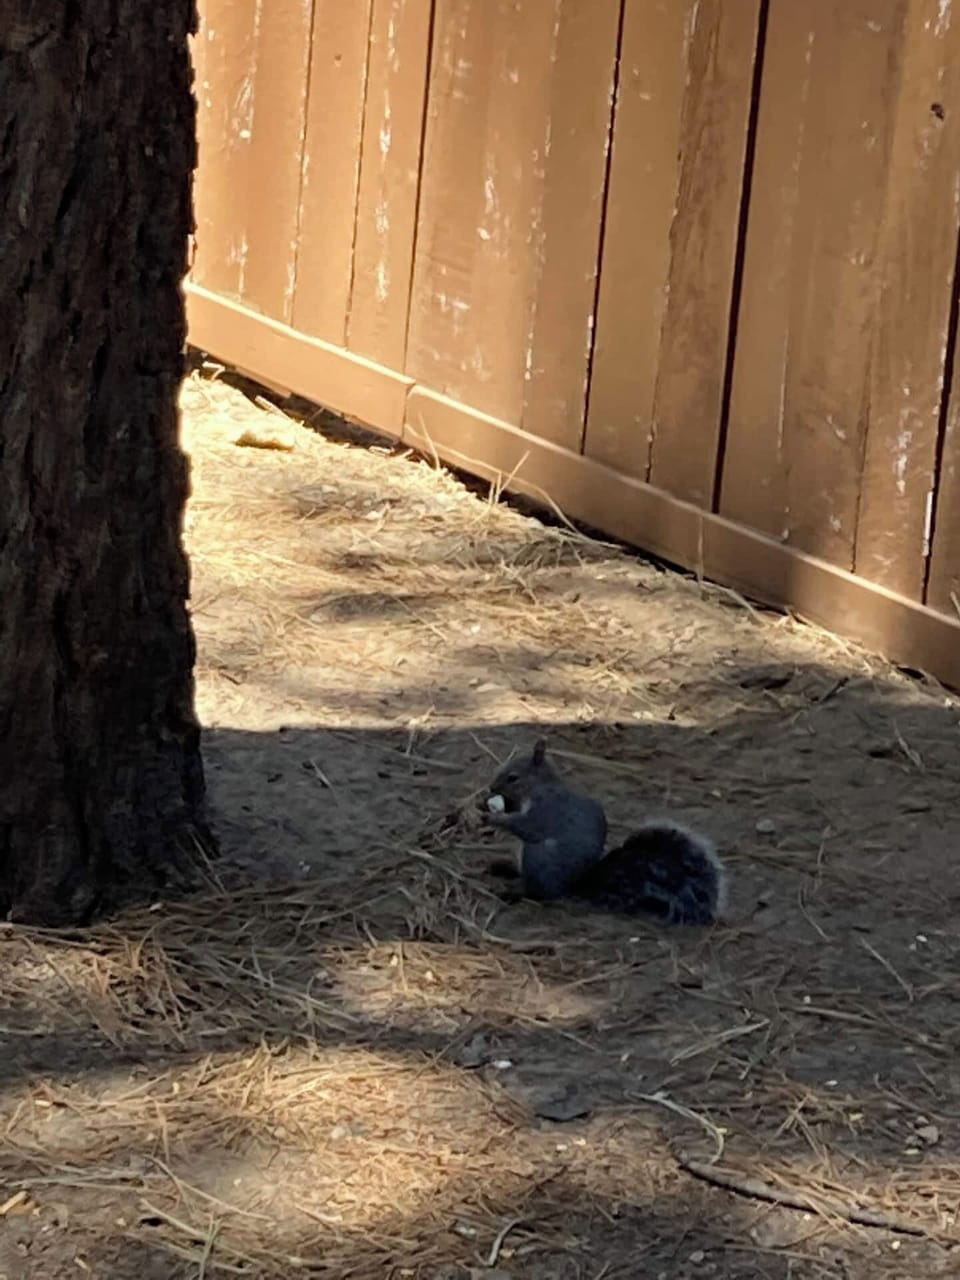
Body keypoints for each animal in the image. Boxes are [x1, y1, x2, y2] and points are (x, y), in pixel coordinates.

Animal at [480, 739, 726, 926]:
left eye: (513, 777)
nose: (491, 788)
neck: (539, 788)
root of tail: (574, 886)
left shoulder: (547, 811)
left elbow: (526, 826)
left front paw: (494, 817)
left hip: (538, 859)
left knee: (537, 892)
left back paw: (515, 893)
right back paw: (503, 867)